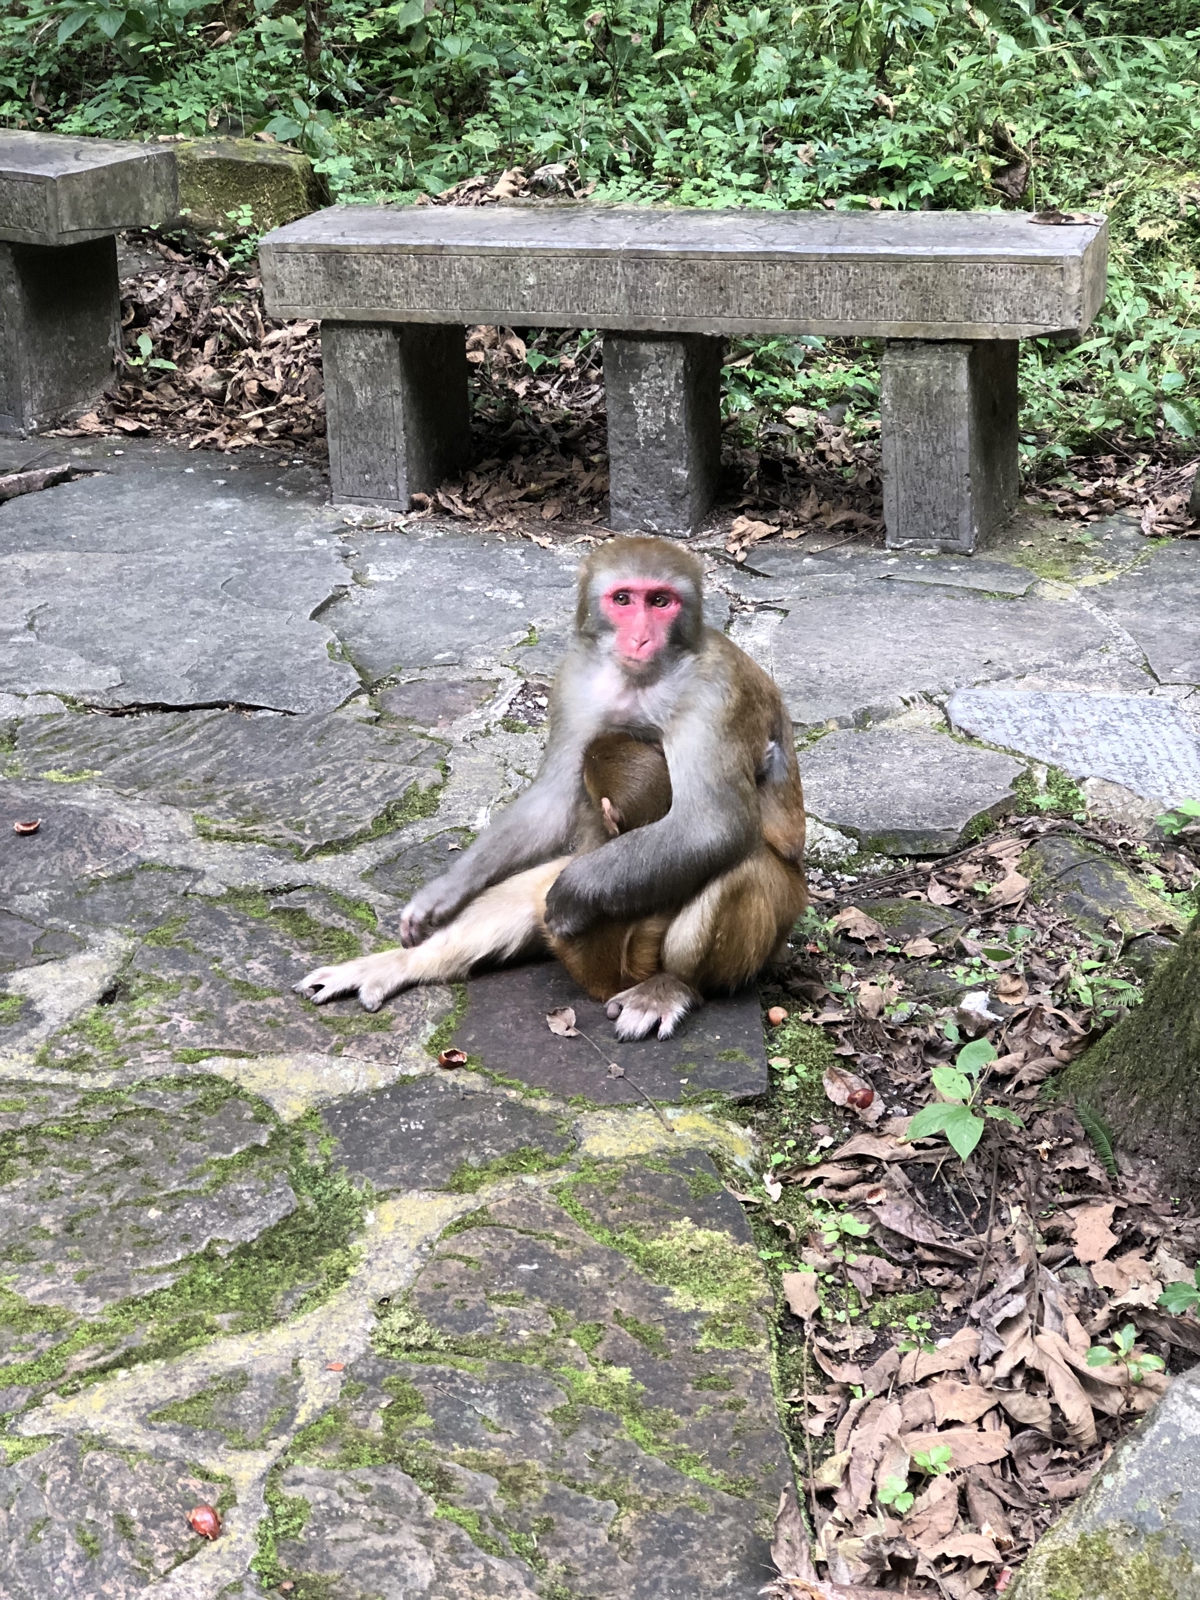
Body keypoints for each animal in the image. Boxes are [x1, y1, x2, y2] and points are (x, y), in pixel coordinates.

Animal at [294, 536, 807, 1040]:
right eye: (624, 599)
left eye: (661, 602)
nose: (641, 637)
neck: (642, 679)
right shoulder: (576, 680)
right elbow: (553, 803)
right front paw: (442, 895)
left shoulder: (713, 692)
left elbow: (713, 824)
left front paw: (573, 894)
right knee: (529, 888)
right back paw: (401, 965)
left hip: (776, 919)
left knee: (742, 867)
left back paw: (670, 986)